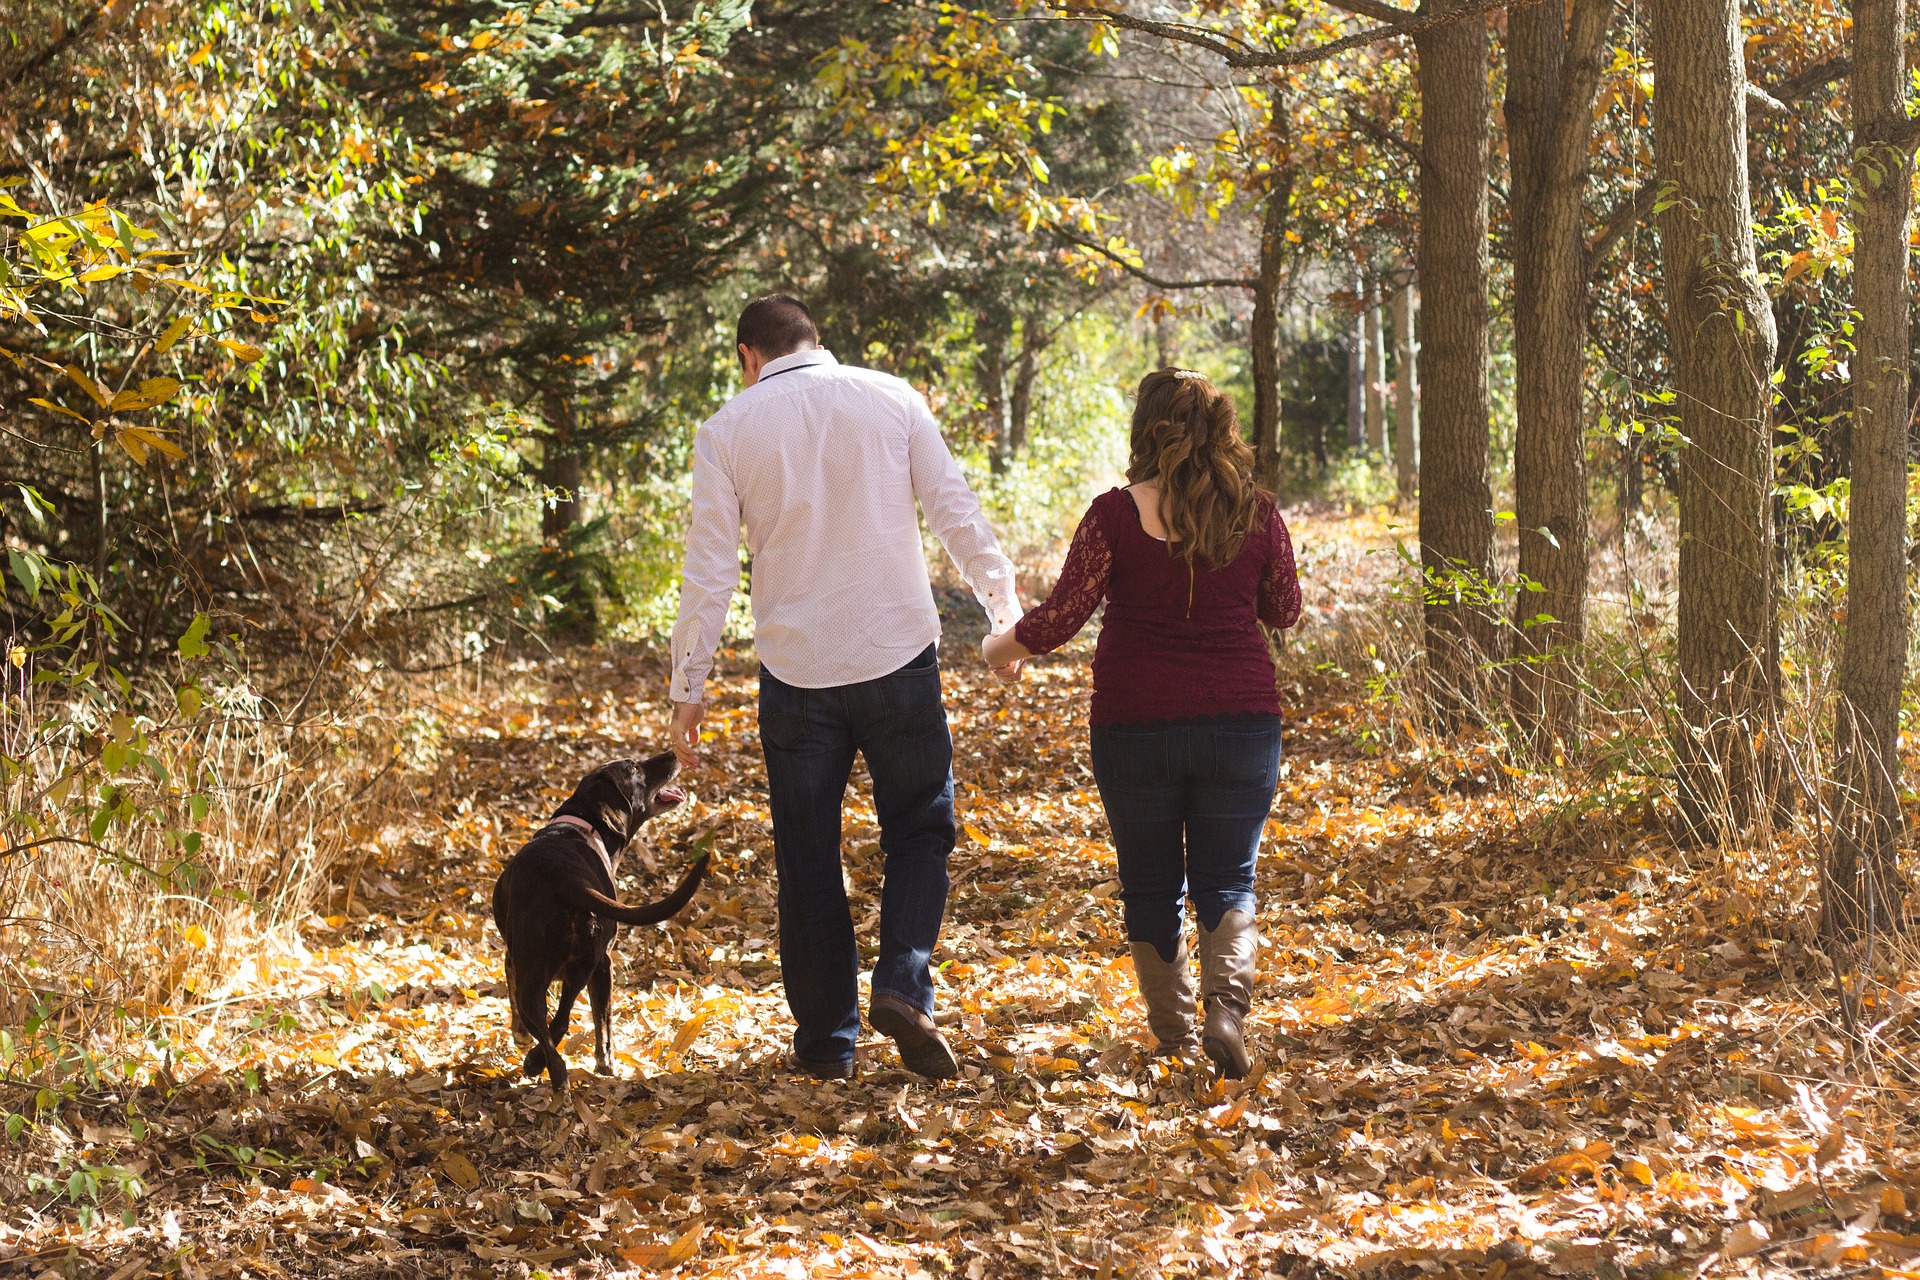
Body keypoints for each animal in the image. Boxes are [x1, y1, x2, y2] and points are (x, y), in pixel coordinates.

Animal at [491, 756, 710, 1097]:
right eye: (634, 767)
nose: (673, 755)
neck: (580, 824)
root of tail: (566, 880)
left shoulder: (512, 961)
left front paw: (520, 1040)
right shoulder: (602, 964)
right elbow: (602, 1021)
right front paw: (606, 1067)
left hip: (536, 973)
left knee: (550, 1027)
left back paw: (543, 1071)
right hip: (587, 965)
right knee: (561, 1022)